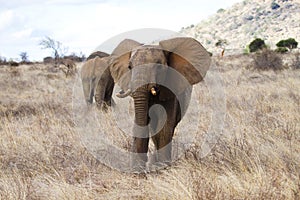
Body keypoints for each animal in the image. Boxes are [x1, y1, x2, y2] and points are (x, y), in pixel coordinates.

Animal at [109, 36, 211, 170]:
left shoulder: (171, 91)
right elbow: (141, 121)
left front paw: (163, 167)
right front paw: (138, 169)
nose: (145, 160)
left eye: (158, 66)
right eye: (129, 67)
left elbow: (164, 125)